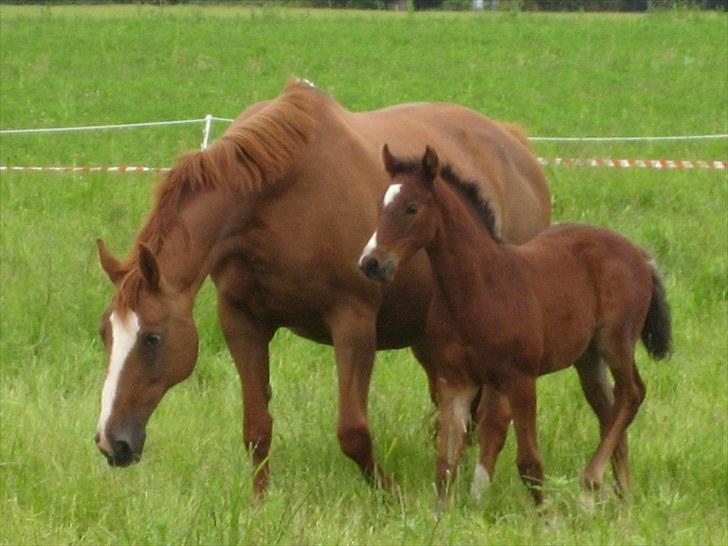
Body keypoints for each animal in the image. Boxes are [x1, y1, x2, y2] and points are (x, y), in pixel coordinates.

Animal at [94, 78, 548, 490]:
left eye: (152, 337)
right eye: (106, 334)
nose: (111, 442)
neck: (276, 200)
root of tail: (514, 144)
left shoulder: (353, 321)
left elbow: (353, 432)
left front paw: (392, 496)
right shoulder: (242, 322)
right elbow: (256, 429)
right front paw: (259, 506)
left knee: (493, 416)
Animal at [358, 143, 672, 506]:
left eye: (412, 207)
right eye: (380, 204)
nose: (371, 262)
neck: (477, 289)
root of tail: (638, 253)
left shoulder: (519, 378)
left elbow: (529, 462)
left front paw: (547, 516)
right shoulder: (456, 380)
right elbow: (445, 464)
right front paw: (441, 516)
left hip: (616, 341)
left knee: (632, 393)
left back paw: (592, 480)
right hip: (588, 357)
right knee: (609, 410)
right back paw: (622, 497)